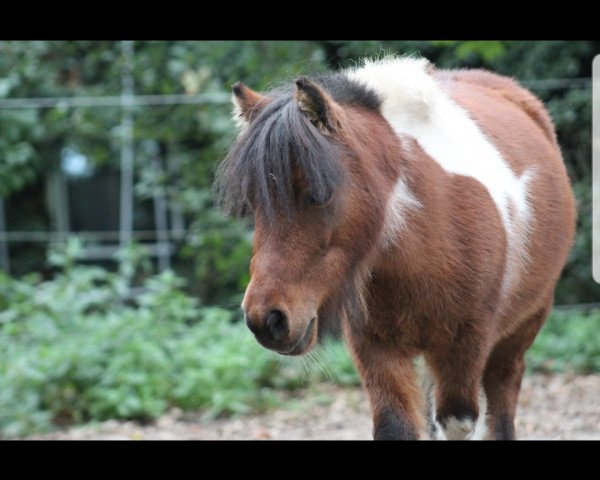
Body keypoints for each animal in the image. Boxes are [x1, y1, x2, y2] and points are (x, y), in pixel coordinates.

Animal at [216, 56, 576, 438]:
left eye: (320, 193)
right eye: (253, 204)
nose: (267, 320)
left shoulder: (466, 346)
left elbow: (459, 422)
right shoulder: (377, 351)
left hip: (519, 333)